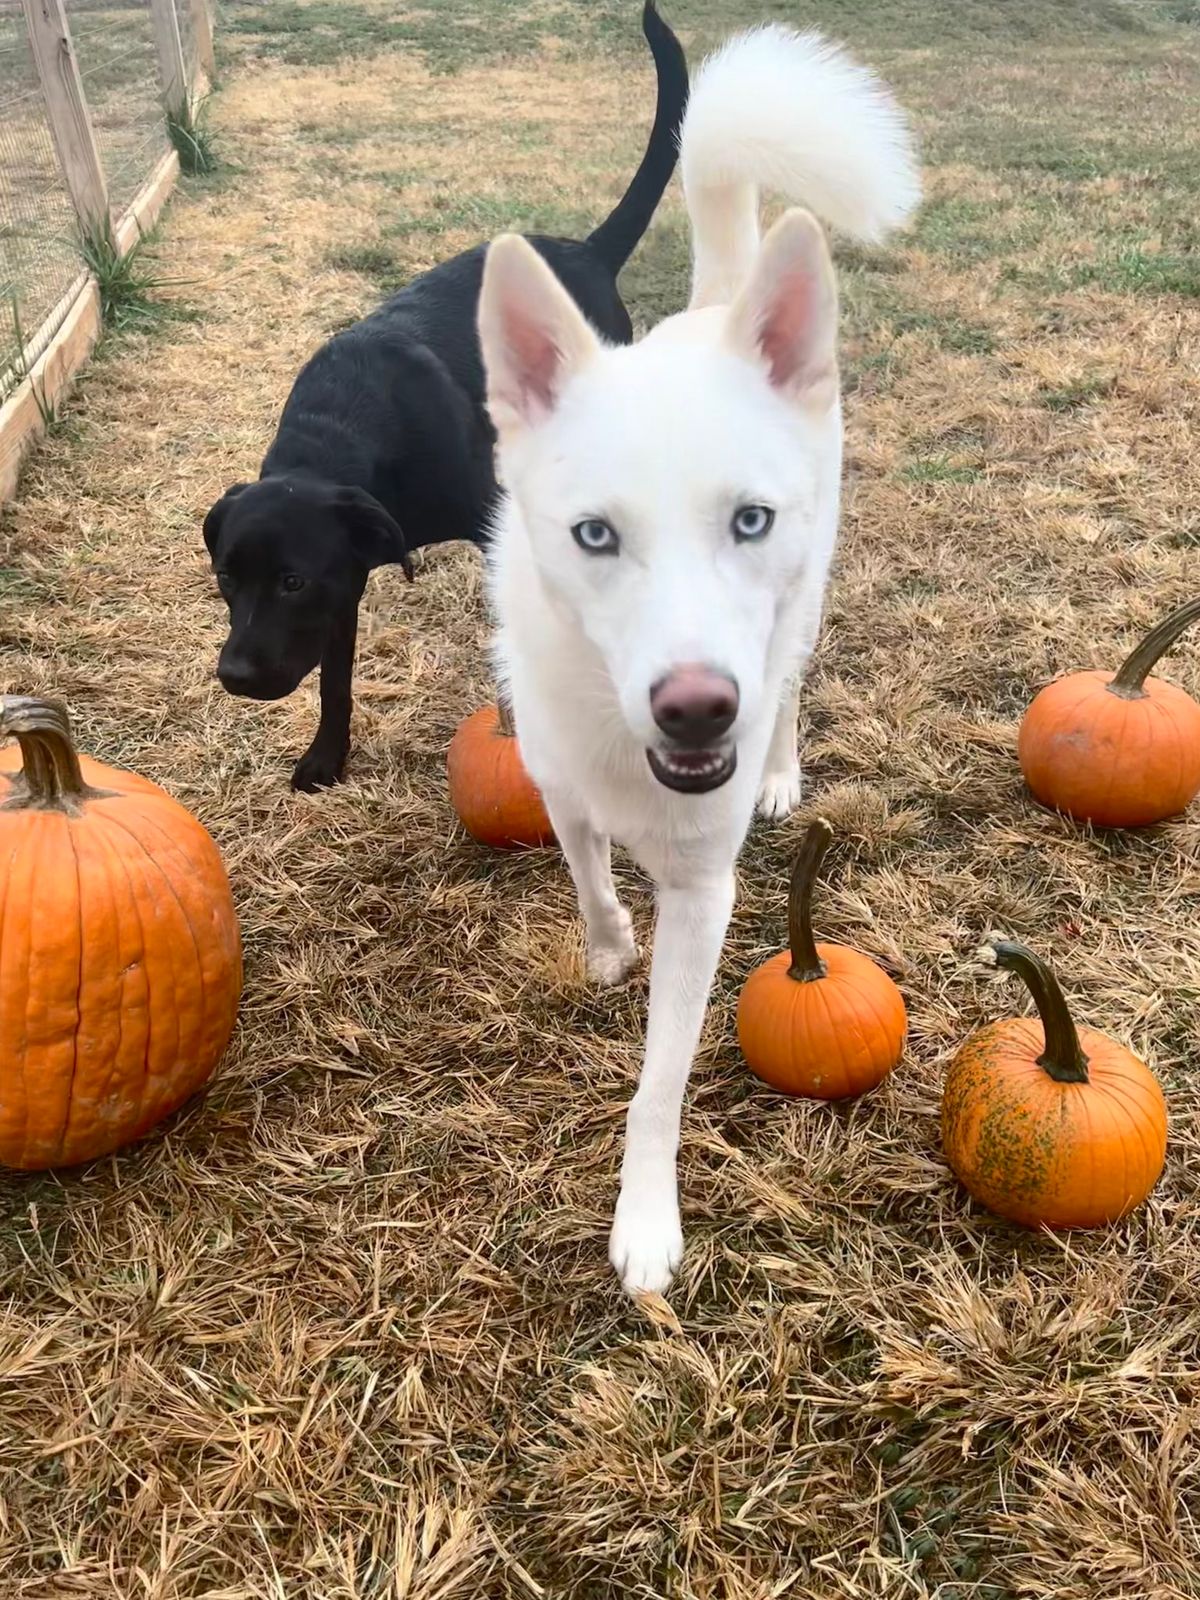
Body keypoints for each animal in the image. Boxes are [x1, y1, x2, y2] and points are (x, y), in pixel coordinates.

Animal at [206, 3, 684, 790]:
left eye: (291, 582)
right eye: (226, 578)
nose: (235, 676)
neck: (343, 433)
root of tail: (585, 251)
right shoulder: (348, 579)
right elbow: (335, 682)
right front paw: (326, 757)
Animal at [476, 25, 921, 1292]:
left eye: (747, 520)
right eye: (594, 536)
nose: (696, 711)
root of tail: (716, 306)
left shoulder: (706, 894)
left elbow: (660, 1081)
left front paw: (645, 1218)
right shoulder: (557, 784)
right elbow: (585, 874)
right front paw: (606, 947)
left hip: (802, 615)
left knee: (795, 686)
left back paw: (776, 768)